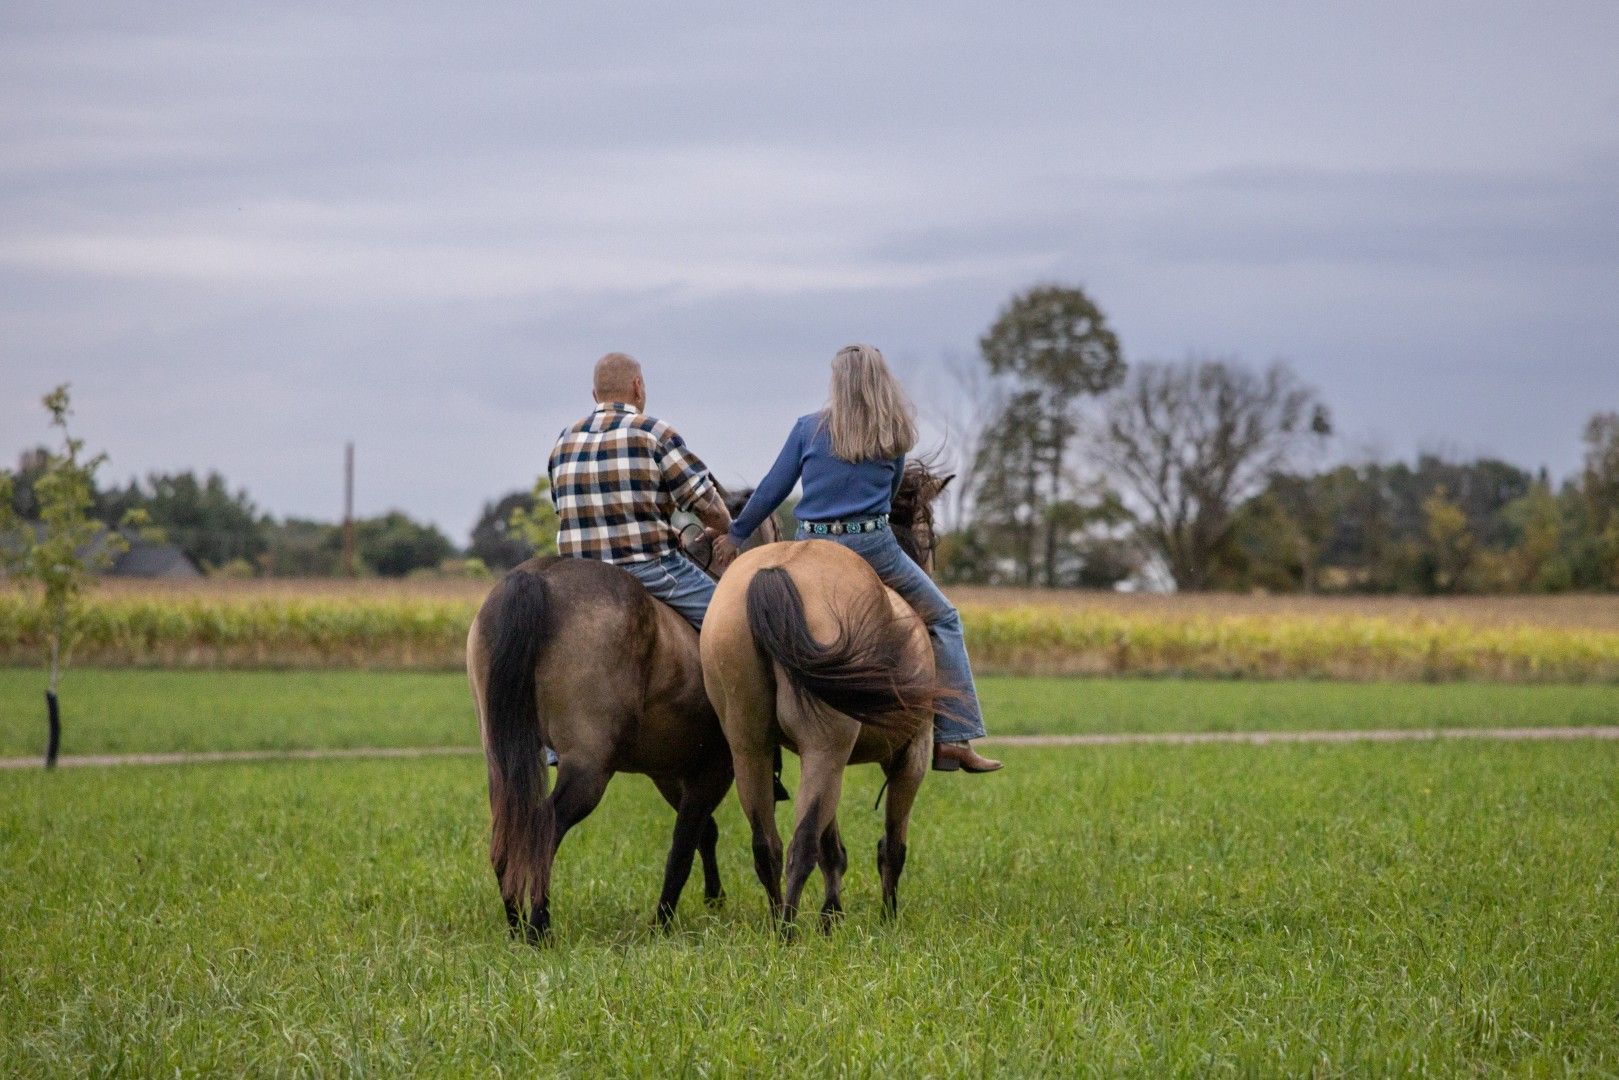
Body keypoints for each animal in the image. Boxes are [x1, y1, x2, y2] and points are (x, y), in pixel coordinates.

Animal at [466, 488, 777, 942]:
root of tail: (537, 579)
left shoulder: (670, 772)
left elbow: (703, 833)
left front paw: (712, 898)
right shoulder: (715, 770)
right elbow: (684, 845)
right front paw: (664, 920)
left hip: (502, 758)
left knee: (510, 829)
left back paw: (516, 925)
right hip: (589, 769)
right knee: (544, 827)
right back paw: (539, 928)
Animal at [698, 462, 954, 934]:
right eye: (931, 537)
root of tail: (774, 573)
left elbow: (832, 846)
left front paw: (831, 916)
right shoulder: (911, 754)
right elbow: (892, 846)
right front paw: (886, 917)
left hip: (752, 746)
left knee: (768, 844)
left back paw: (778, 920)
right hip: (826, 748)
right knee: (800, 846)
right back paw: (787, 933)